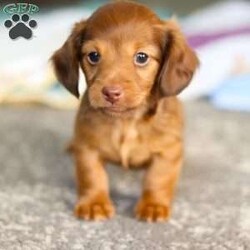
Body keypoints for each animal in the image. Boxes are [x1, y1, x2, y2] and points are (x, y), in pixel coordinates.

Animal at [51, 0, 198, 222]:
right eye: (93, 55)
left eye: (142, 57)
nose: (111, 93)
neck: (126, 121)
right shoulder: (87, 147)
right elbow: (92, 175)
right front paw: (94, 203)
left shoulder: (168, 150)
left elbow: (158, 177)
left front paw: (153, 205)